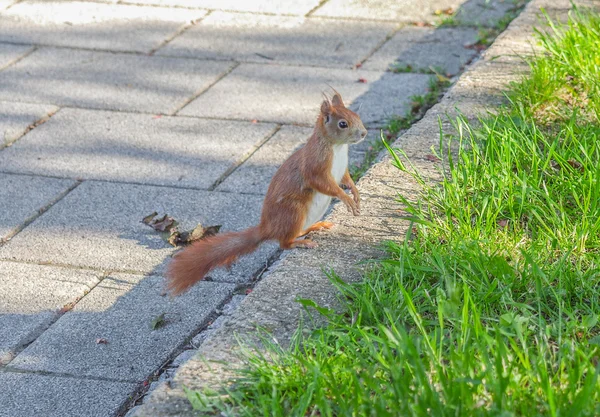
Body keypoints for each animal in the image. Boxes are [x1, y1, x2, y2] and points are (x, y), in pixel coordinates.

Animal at [166, 92, 368, 292]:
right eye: (343, 124)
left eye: (356, 115)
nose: (364, 133)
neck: (337, 147)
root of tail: (268, 228)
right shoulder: (315, 166)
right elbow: (324, 184)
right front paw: (346, 198)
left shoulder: (341, 170)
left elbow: (346, 179)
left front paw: (355, 192)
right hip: (294, 211)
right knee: (284, 243)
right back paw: (302, 242)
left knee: (294, 234)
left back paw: (315, 227)